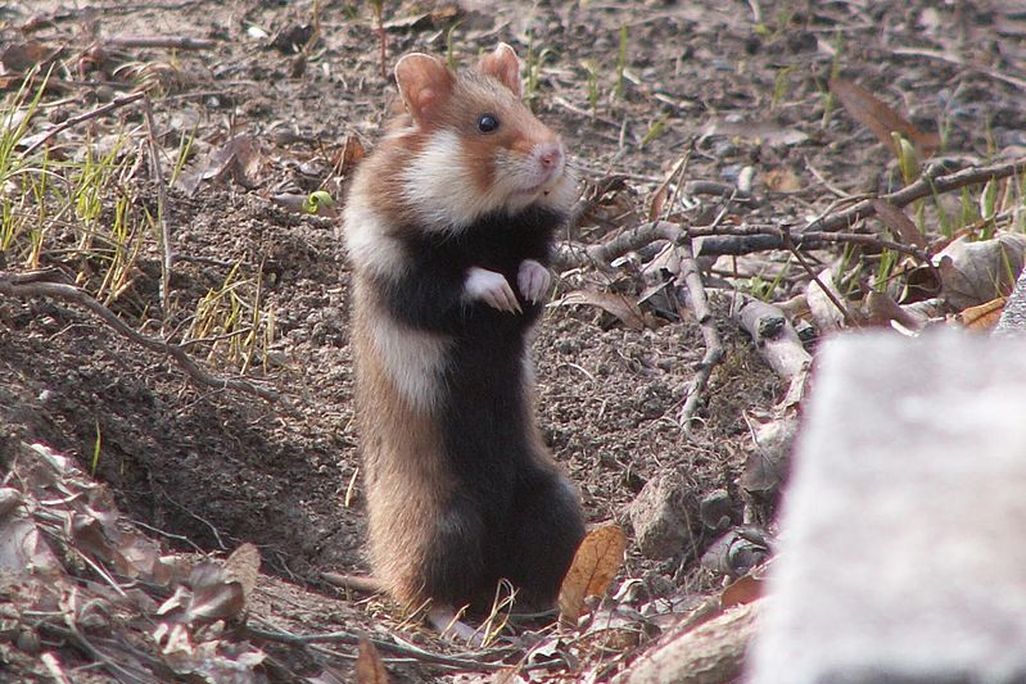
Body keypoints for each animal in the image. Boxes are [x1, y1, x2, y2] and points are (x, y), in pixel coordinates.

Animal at [342, 43, 585, 628]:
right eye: (486, 123)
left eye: (529, 108)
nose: (554, 154)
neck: (485, 219)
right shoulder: (399, 271)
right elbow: (456, 280)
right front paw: (497, 288)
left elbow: (535, 270)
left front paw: (528, 282)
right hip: (442, 525)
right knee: (425, 596)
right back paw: (462, 628)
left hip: (555, 501)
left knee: (533, 573)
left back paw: (543, 610)